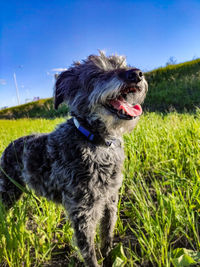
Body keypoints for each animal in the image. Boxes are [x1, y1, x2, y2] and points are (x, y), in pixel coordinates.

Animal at [0, 51, 147, 266]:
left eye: (121, 63)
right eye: (96, 73)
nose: (136, 74)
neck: (97, 142)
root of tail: (8, 146)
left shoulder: (110, 200)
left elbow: (108, 235)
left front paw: (109, 256)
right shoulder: (83, 213)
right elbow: (89, 253)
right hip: (8, 191)